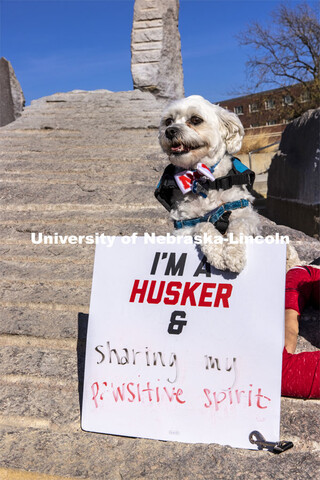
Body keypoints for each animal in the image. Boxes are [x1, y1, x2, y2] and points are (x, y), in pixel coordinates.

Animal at [157, 95, 260, 272]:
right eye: (168, 121)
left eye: (195, 120)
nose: (170, 130)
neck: (203, 180)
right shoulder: (184, 226)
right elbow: (202, 225)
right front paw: (217, 253)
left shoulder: (248, 215)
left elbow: (238, 224)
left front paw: (234, 255)